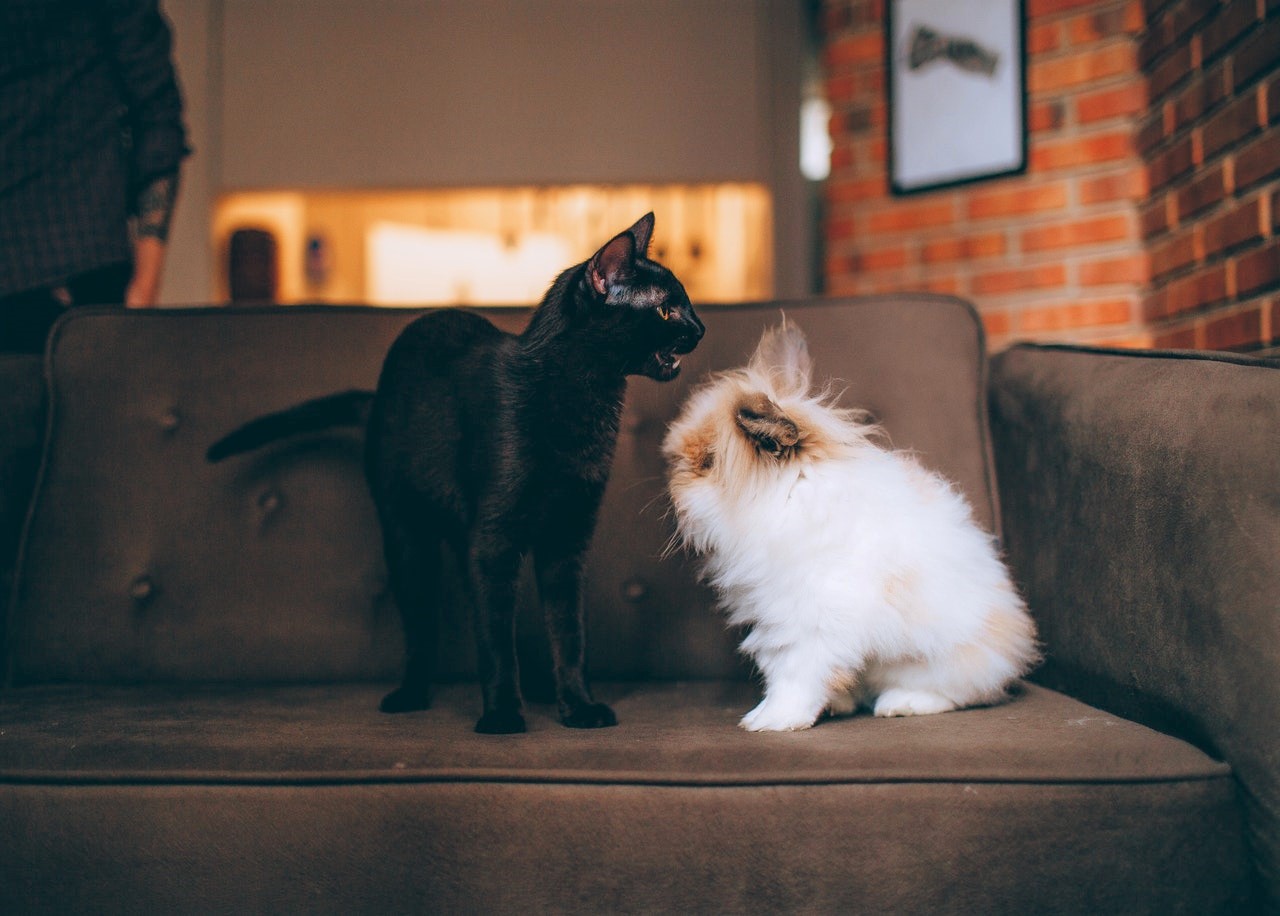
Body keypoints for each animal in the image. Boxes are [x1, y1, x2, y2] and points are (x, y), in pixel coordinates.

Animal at [206, 211, 706, 731]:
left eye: (684, 304)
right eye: (666, 311)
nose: (701, 327)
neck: (582, 401)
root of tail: (377, 398)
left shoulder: (567, 538)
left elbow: (569, 634)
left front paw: (578, 706)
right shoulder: (492, 540)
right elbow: (494, 641)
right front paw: (503, 716)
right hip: (408, 539)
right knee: (423, 627)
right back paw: (411, 693)